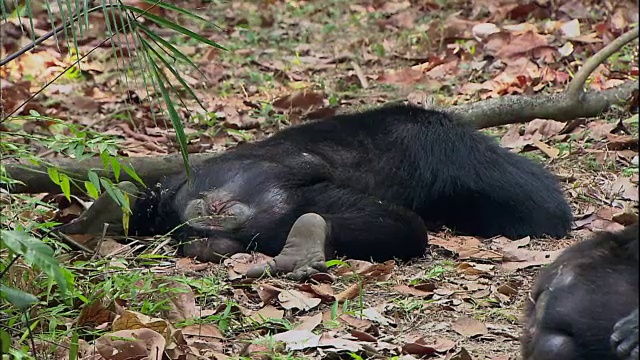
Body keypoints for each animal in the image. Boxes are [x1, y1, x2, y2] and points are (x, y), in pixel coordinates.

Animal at [62, 103, 572, 278]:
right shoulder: (457, 148)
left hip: (188, 194)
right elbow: (543, 208)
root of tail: (218, 205)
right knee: (402, 228)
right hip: (284, 205)